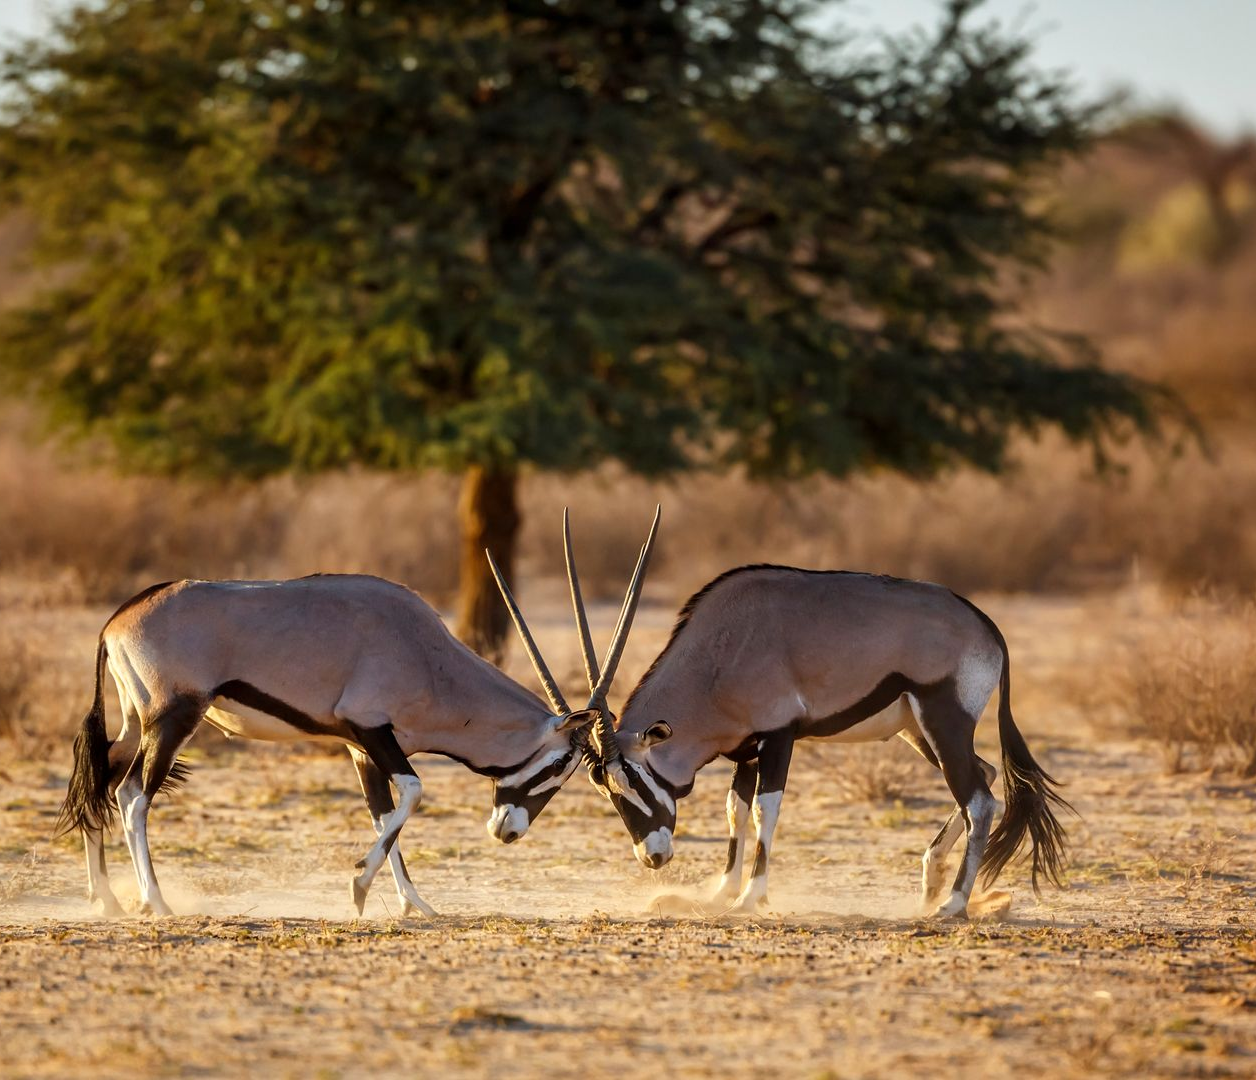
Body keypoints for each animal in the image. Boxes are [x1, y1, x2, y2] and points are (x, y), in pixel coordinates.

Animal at [54, 509, 658, 918]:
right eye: (563, 766)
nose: (506, 832)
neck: (428, 656)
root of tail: (117, 619)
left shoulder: (361, 748)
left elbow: (382, 813)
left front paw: (415, 904)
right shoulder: (372, 730)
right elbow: (412, 793)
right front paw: (359, 888)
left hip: (138, 722)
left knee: (101, 776)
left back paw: (106, 899)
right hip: (175, 718)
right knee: (133, 794)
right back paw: (154, 901)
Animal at [521, 562, 1070, 919]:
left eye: (633, 781)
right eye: (605, 788)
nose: (653, 858)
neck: (720, 652)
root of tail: (988, 628)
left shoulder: (778, 738)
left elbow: (766, 810)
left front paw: (751, 898)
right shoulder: (746, 751)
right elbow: (735, 810)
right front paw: (719, 894)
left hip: (943, 722)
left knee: (978, 799)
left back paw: (953, 903)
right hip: (918, 733)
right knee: (987, 777)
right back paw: (932, 879)